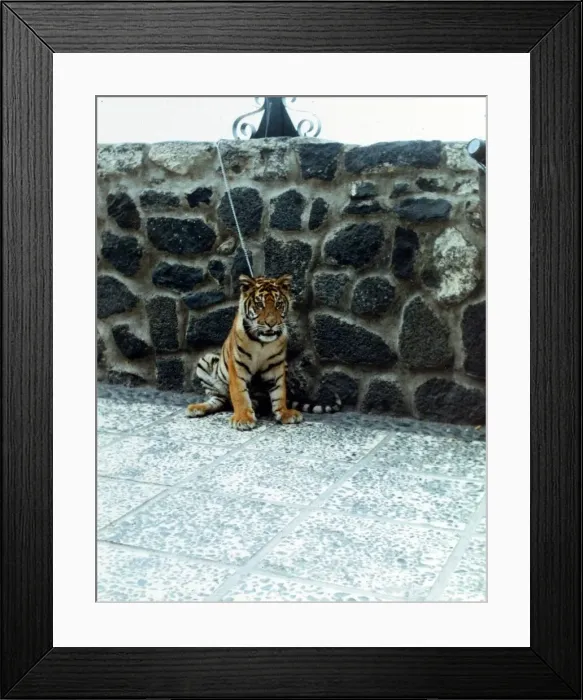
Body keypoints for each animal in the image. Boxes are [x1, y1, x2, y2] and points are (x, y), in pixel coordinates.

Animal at [186, 274, 341, 430]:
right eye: (260, 305)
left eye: (278, 304)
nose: (271, 323)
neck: (262, 342)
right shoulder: (237, 365)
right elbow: (239, 394)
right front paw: (243, 419)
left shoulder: (276, 365)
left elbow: (280, 392)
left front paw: (284, 413)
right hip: (206, 360)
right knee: (219, 400)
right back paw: (197, 408)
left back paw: (256, 406)